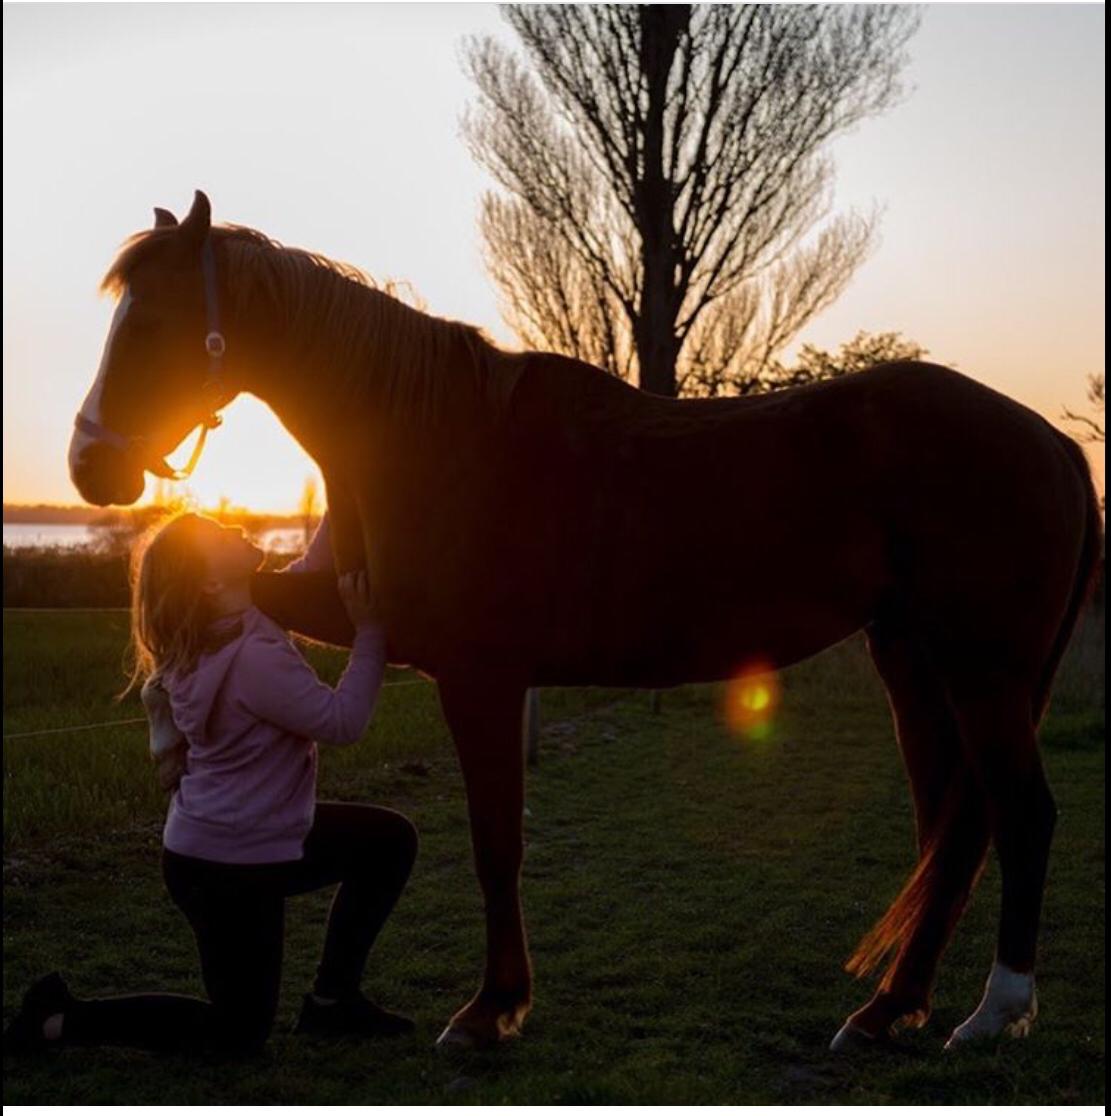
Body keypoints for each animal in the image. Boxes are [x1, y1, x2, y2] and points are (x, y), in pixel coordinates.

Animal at [69, 194, 1102, 1053]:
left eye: (151, 323)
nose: (88, 466)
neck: (434, 439)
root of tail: (1051, 443)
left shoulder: (479, 679)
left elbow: (497, 844)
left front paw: (490, 1011)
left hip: (979, 674)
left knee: (1018, 816)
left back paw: (992, 1013)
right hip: (913, 663)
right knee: (951, 828)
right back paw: (890, 1008)